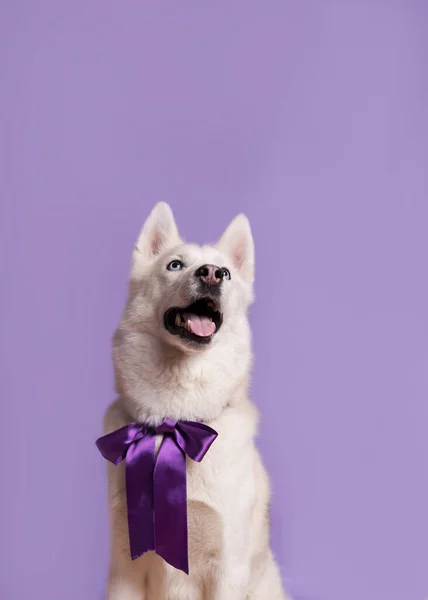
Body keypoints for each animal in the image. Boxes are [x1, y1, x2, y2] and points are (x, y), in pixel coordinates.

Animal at [102, 204, 290, 596]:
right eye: (175, 265)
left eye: (227, 272)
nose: (212, 274)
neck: (174, 421)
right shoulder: (124, 568)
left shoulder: (227, 569)